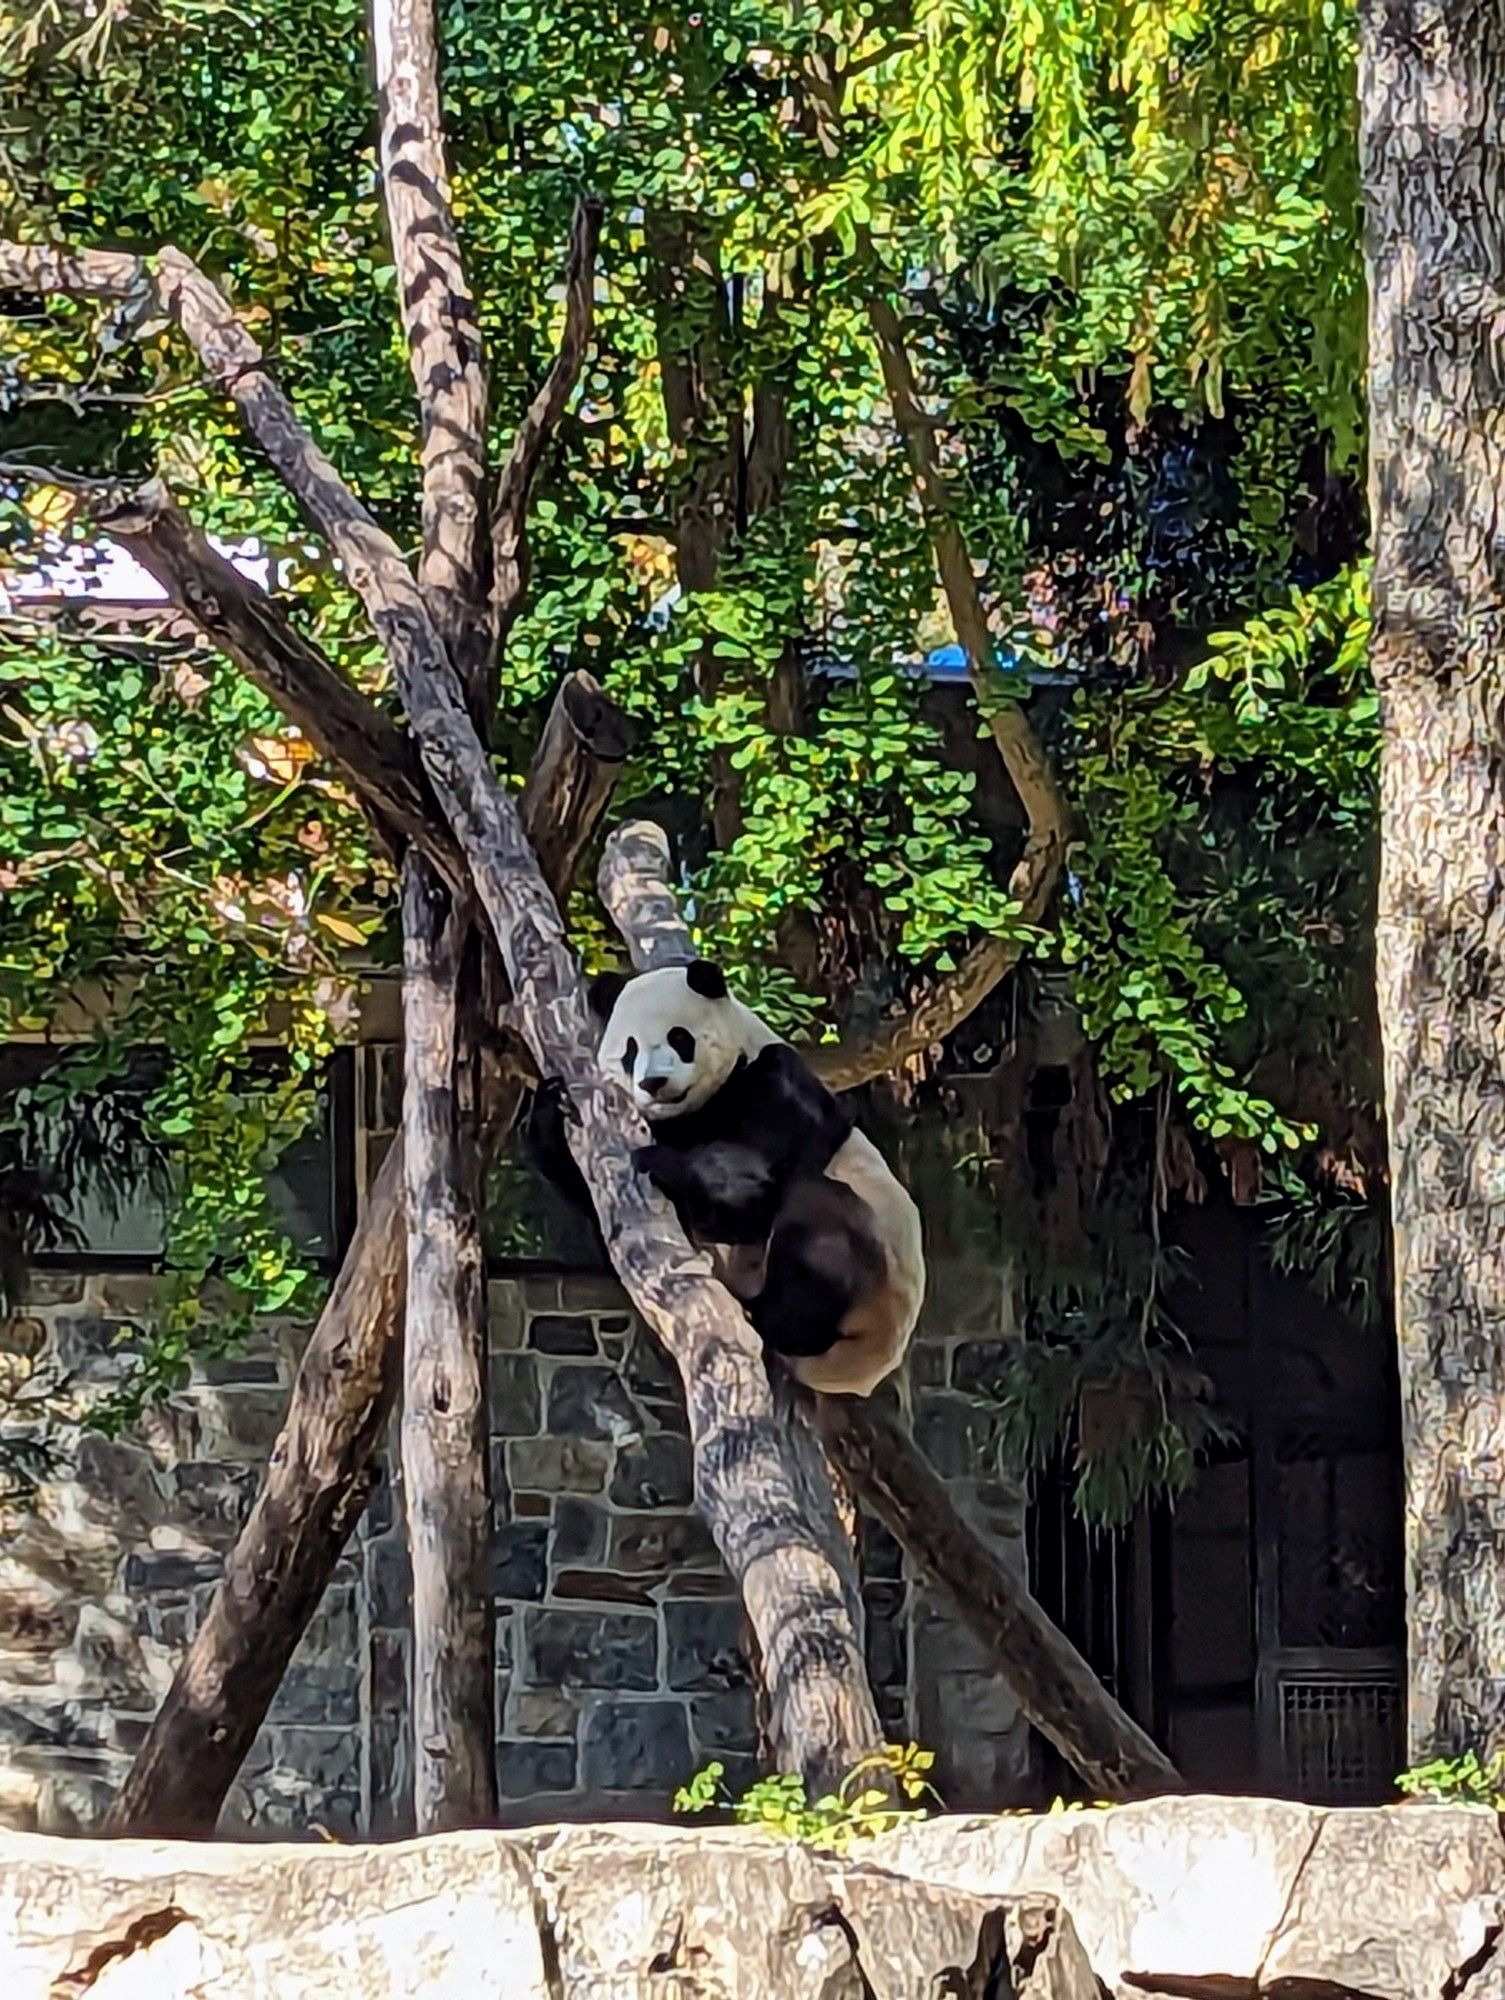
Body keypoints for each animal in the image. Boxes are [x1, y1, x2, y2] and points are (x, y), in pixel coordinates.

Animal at [528, 960, 928, 1400]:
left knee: (816, 1219)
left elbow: (752, 1196)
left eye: (679, 1038)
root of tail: (864, 1369)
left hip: (873, 1280)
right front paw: (551, 1106)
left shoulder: (774, 1081)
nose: (653, 1083)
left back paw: (769, 1316)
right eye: (630, 1051)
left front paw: (667, 1164)